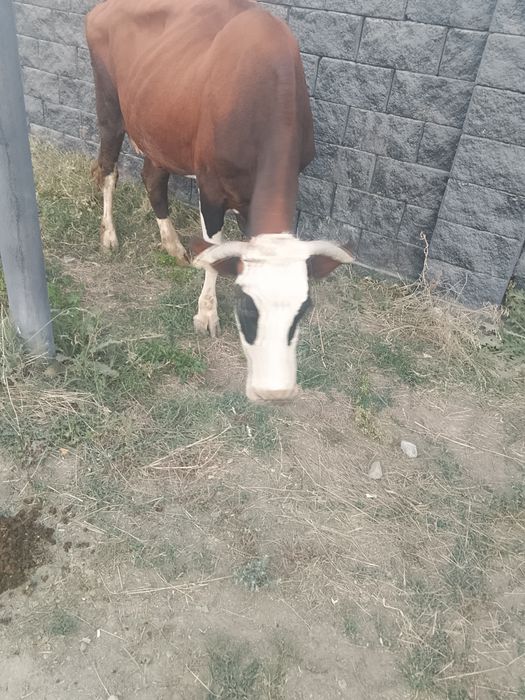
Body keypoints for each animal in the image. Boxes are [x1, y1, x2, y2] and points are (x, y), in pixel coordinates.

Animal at [85, 0, 353, 402]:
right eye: (247, 307)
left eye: (303, 309)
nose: (275, 390)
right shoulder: (211, 186)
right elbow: (213, 250)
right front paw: (207, 314)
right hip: (111, 109)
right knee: (108, 170)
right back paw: (109, 236)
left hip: (159, 126)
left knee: (153, 178)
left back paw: (172, 245)